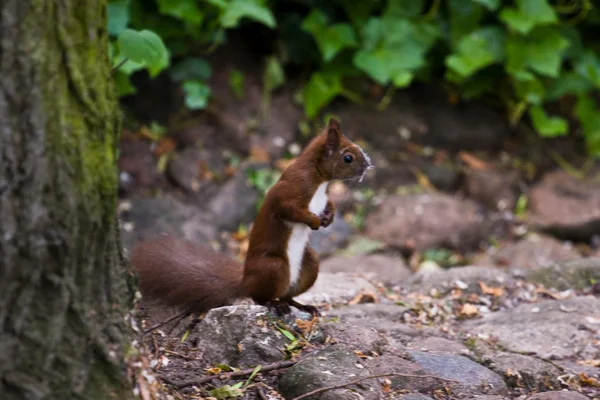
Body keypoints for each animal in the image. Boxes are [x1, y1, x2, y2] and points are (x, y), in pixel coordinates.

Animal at [131, 117, 372, 318]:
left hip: (309, 264)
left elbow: (330, 203)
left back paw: (302, 306)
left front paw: (329, 216)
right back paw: (275, 304)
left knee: (288, 293)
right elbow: (288, 210)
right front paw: (313, 220)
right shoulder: (289, 191)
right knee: (259, 297)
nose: (368, 166)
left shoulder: (321, 198)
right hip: (274, 267)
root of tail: (245, 280)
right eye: (348, 157)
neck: (320, 182)